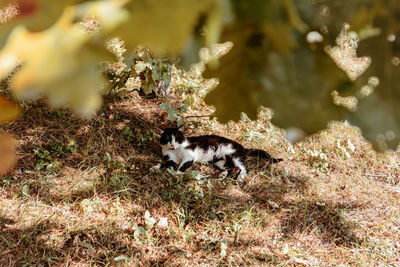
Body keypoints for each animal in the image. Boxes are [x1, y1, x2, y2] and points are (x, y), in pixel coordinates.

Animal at [150, 127, 282, 182]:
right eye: (168, 139)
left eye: (177, 139)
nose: (173, 144)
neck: (175, 150)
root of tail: (243, 148)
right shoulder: (171, 160)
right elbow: (165, 164)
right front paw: (155, 167)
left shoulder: (189, 157)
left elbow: (181, 167)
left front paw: (176, 175)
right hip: (220, 161)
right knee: (230, 168)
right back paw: (223, 175)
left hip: (232, 155)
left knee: (244, 167)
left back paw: (240, 177)